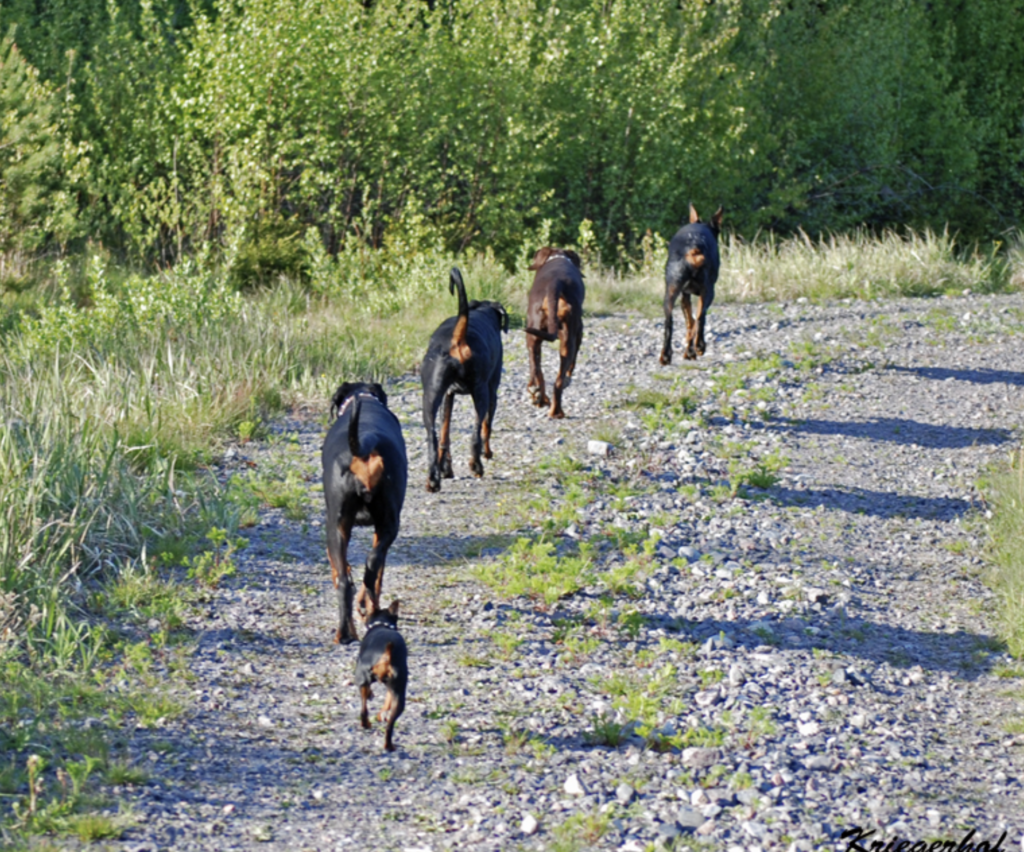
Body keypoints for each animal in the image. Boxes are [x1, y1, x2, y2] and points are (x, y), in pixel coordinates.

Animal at [321, 382, 405, 643]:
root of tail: (365, 444)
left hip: (337, 528)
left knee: (347, 579)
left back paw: (345, 631)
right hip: (386, 525)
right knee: (370, 566)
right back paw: (362, 610)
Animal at [356, 598, 407, 753]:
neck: (382, 624)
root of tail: (386, 654)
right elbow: (386, 702)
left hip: (362, 676)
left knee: (364, 708)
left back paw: (366, 724)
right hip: (399, 693)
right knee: (389, 725)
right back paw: (388, 745)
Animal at [419, 266, 507, 491]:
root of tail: (458, 337)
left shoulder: (448, 396)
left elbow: (445, 435)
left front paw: (445, 469)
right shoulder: (492, 392)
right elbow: (486, 427)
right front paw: (488, 453)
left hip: (430, 397)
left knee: (433, 438)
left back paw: (434, 478)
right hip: (482, 392)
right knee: (476, 433)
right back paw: (476, 465)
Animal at [659, 207, 724, 368]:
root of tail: (693, 249)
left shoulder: (684, 295)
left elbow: (689, 322)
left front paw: (688, 351)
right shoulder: (693, 295)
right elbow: (694, 322)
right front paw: (691, 351)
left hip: (670, 292)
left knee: (669, 323)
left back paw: (665, 355)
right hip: (708, 292)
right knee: (700, 318)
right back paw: (699, 346)